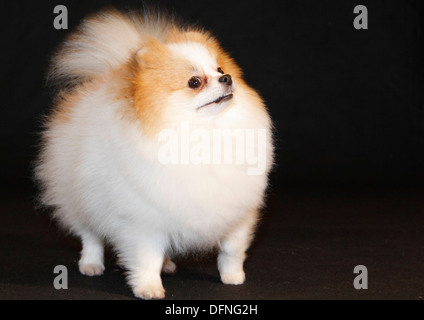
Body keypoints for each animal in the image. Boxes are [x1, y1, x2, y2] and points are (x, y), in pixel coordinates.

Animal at [36, 7, 274, 298]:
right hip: (80, 201)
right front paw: (149, 287)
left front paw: (233, 276)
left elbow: (231, 250)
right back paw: (91, 264)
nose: (227, 79)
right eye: (195, 82)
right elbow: (146, 258)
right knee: (90, 235)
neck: (204, 133)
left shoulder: (237, 213)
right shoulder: (142, 220)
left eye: (220, 69)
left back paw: (168, 264)